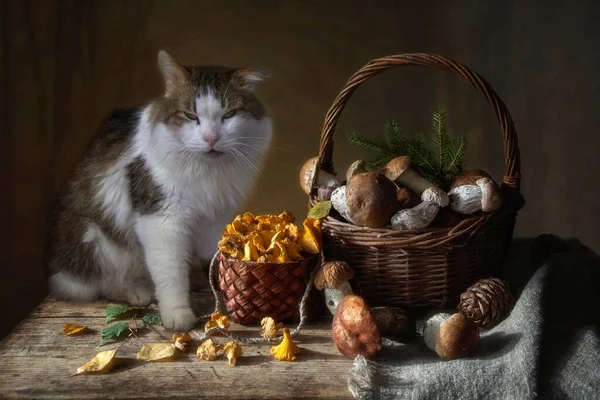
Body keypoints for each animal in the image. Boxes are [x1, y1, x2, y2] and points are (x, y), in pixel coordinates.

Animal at [48, 50, 274, 330]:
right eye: (191, 116)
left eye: (229, 115)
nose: (211, 138)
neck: (207, 171)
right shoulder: (161, 220)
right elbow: (171, 274)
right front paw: (178, 315)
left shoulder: (216, 217)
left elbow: (215, 262)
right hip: (96, 240)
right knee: (97, 284)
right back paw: (136, 291)